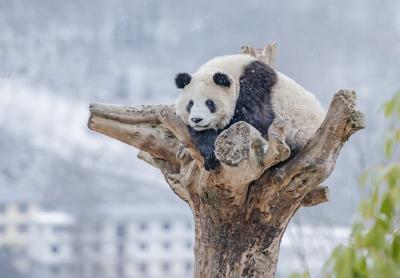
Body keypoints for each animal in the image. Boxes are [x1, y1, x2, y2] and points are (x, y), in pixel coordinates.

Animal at [175, 54, 324, 170]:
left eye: (209, 103)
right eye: (190, 104)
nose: (196, 120)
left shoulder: (256, 86)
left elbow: (255, 119)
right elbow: (201, 134)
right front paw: (209, 155)